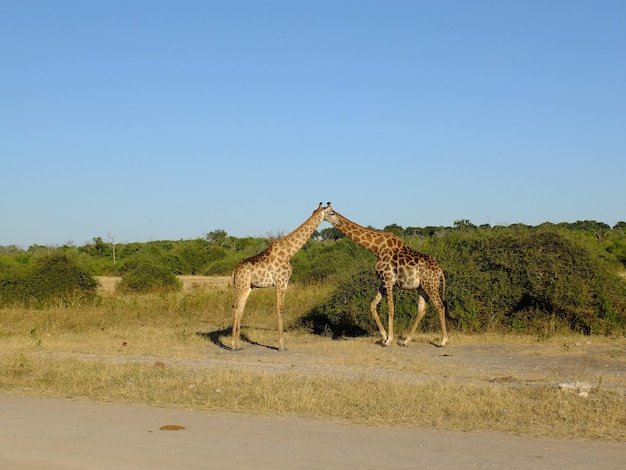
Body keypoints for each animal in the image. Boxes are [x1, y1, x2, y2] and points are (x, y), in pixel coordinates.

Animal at [229, 200, 326, 350]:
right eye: (330, 212)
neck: (289, 252)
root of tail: (234, 270)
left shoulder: (282, 283)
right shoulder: (281, 282)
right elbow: (280, 309)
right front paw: (282, 345)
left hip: (244, 287)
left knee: (239, 308)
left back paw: (237, 344)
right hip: (242, 286)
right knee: (237, 308)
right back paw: (234, 345)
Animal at [322, 202, 448, 346]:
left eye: (331, 213)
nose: (338, 222)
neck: (377, 247)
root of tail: (440, 271)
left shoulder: (388, 280)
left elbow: (390, 309)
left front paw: (389, 339)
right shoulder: (383, 281)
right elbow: (372, 305)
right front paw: (384, 336)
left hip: (430, 285)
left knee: (439, 306)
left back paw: (443, 340)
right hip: (422, 287)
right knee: (421, 309)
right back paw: (406, 340)